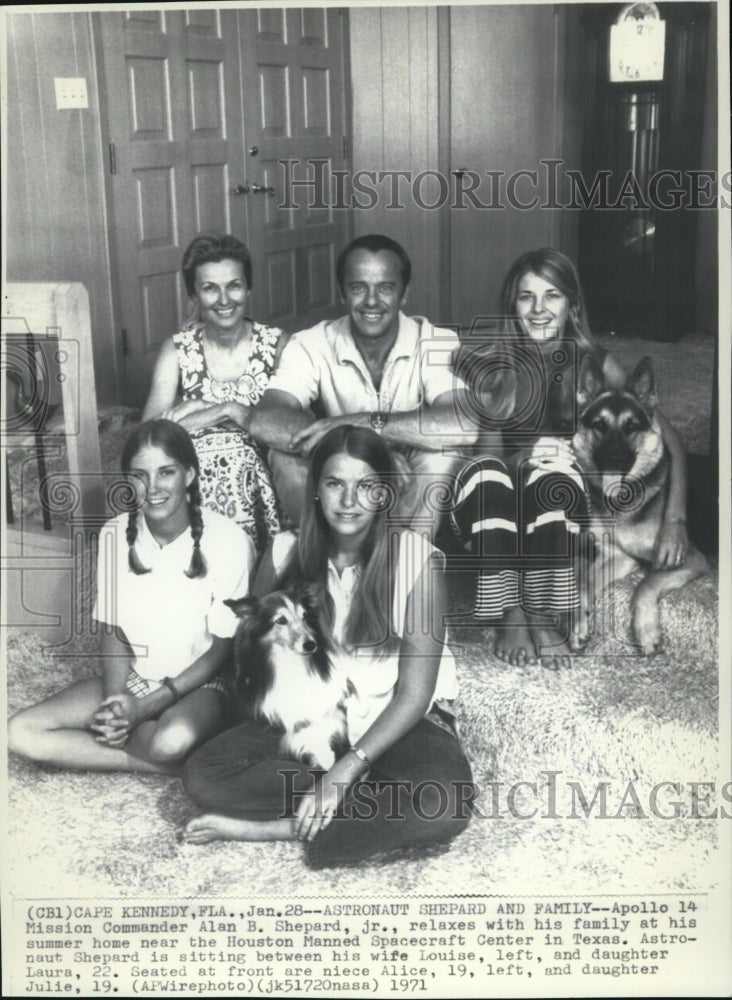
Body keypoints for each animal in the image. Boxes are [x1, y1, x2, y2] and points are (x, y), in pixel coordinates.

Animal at [223, 584, 352, 772]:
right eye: (281, 620)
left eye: (305, 616)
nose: (311, 645)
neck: (290, 661)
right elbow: (301, 727)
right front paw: (322, 755)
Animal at [576, 354, 708, 656]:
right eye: (599, 425)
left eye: (631, 427)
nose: (613, 459)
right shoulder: (618, 556)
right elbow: (584, 580)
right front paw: (579, 623)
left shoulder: (692, 559)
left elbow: (646, 584)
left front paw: (646, 631)